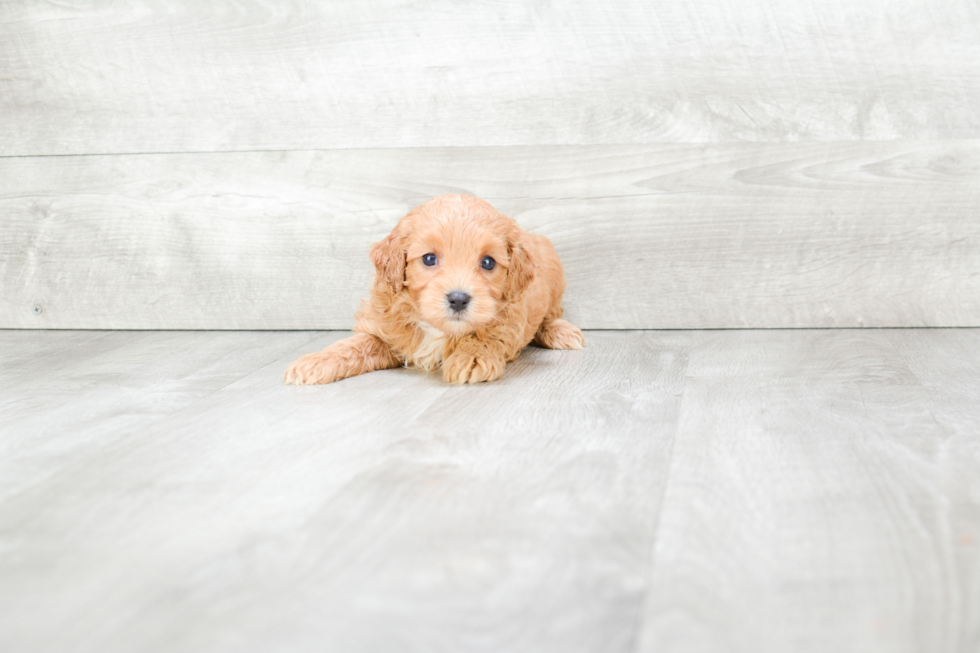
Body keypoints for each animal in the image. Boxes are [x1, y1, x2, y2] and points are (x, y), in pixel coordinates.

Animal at [288, 194, 584, 388]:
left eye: (488, 262)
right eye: (429, 259)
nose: (458, 299)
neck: (436, 328)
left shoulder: (507, 315)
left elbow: (486, 334)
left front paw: (471, 356)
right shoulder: (382, 329)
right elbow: (353, 346)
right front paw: (316, 362)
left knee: (551, 314)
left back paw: (560, 332)